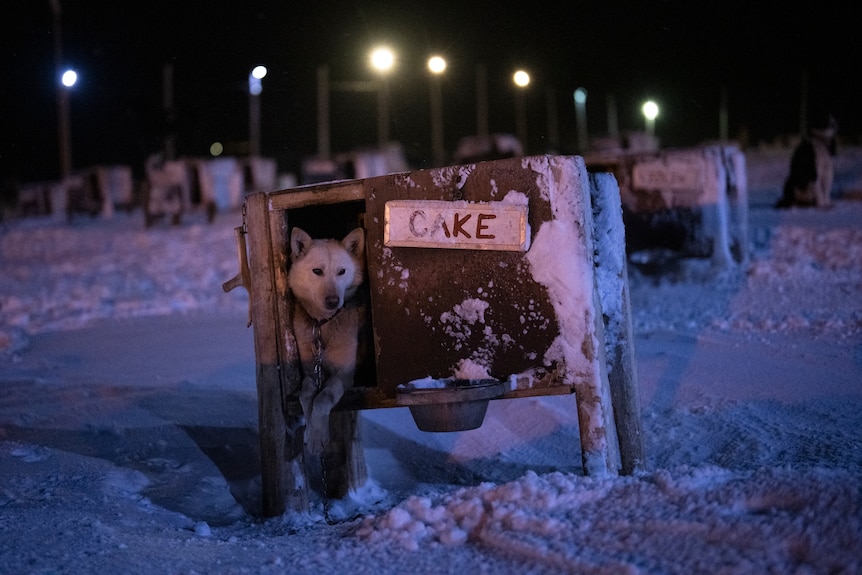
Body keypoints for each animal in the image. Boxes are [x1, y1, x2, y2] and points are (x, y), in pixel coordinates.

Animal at [288, 227, 366, 456]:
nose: (333, 301)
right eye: (317, 271)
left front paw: (317, 437)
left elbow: (323, 398)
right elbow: (306, 396)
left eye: (341, 272)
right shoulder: (310, 372)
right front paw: (310, 432)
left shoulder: (344, 375)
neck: (322, 325)